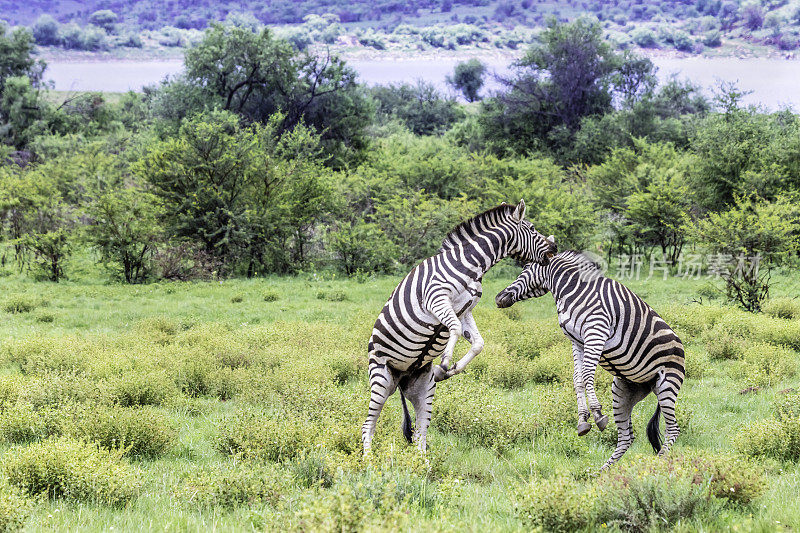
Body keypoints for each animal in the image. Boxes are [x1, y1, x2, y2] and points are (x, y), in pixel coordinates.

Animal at [362, 200, 556, 454]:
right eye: (532, 229)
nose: (555, 248)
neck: (472, 265)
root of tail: (401, 380)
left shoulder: (465, 311)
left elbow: (478, 343)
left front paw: (451, 369)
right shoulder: (437, 299)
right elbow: (453, 328)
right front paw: (444, 362)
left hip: (423, 388)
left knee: (420, 433)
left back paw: (422, 463)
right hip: (381, 378)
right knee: (369, 425)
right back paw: (368, 460)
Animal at [496, 251, 684, 468]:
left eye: (526, 267)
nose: (498, 297)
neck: (571, 289)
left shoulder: (596, 332)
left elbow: (587, 375)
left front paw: (597, 414)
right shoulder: (577, 342)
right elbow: (577, 379)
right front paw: (583, 420)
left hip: (667, 385)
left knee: (673, 429)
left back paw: (658, 464)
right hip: (623, 390)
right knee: (626, 437)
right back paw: (603, 472)